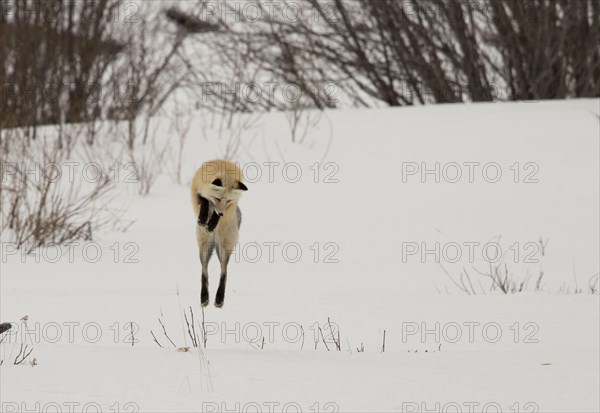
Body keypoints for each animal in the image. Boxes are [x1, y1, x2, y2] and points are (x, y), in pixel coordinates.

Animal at [192, 159, 248, 308]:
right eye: (217, 199)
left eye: (228, 201)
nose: (222, 213)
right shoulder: (197, 191)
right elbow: (204, 200)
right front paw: (203, 218)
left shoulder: (230, 205)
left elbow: (215, 216)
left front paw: (212, 223)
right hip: (204, 248)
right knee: (204, 272)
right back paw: (204, 297)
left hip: (224, 248)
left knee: (224, 272)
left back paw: (219, 298)